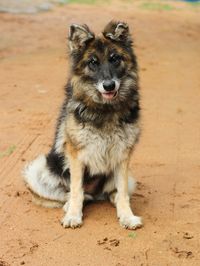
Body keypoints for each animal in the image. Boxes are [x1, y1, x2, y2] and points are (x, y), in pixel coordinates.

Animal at [23, 20, 142, 230]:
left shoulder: (122, 156)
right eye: (93, 62)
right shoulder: (76, 155)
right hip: (38, 169)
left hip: (127, 178)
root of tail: (95, 194)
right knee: (72, 194)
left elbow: (122, 194)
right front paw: (73, 215)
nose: (109, 85)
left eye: (115, 59)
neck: (104, 110)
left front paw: (127, 216)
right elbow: (77, 190)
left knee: (114, 193)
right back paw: (69, 205)